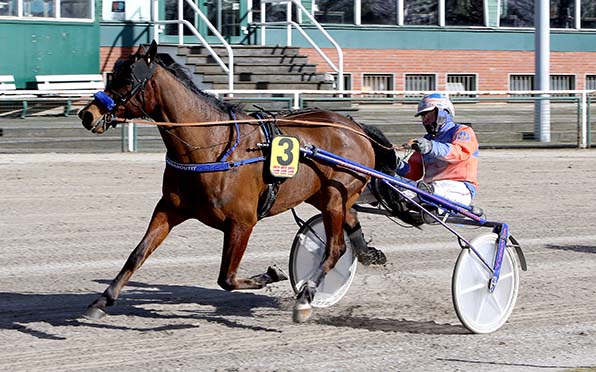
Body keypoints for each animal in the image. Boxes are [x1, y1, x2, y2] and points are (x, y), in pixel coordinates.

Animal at [79, 41, 396, 322]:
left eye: (127, 79)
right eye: (112, 74)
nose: (87, 114)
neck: (211, 146)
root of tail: (355, 126)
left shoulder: (242, 222)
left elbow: (227, 278)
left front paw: (272, 274)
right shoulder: (169, 209)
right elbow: (137, 254)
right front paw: (102, 300)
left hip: (334, 195)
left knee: (335, 249)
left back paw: (305, 299)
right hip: (324, 195)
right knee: (350, 226)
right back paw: (367, 255)